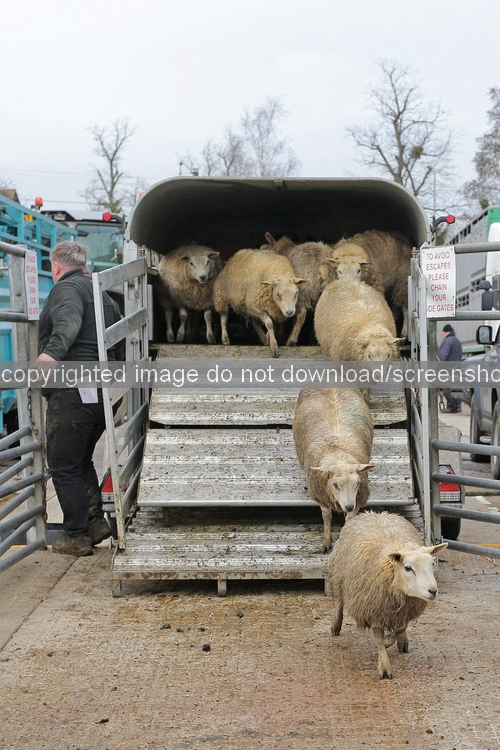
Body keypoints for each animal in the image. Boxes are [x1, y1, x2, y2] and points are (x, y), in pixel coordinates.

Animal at [292, 388, 374, 552]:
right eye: (335, 484)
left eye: (357, 483)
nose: (348, 506)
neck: (338, 454)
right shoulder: (320, 495)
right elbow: (326, 515)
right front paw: (326, 542)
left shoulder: (359, 498)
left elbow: (350, 519)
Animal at [328, 511, 448, 679]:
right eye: (408, 568)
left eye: (432, 564)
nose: (433, 590)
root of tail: (373, 513)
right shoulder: (374, 608)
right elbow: (378, 638)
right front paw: (384, 666)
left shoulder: (405, 609)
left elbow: (401, 627)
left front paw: (392, 639)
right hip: (338, 576)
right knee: (339, 603)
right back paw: (335, 625)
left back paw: (402, 642)